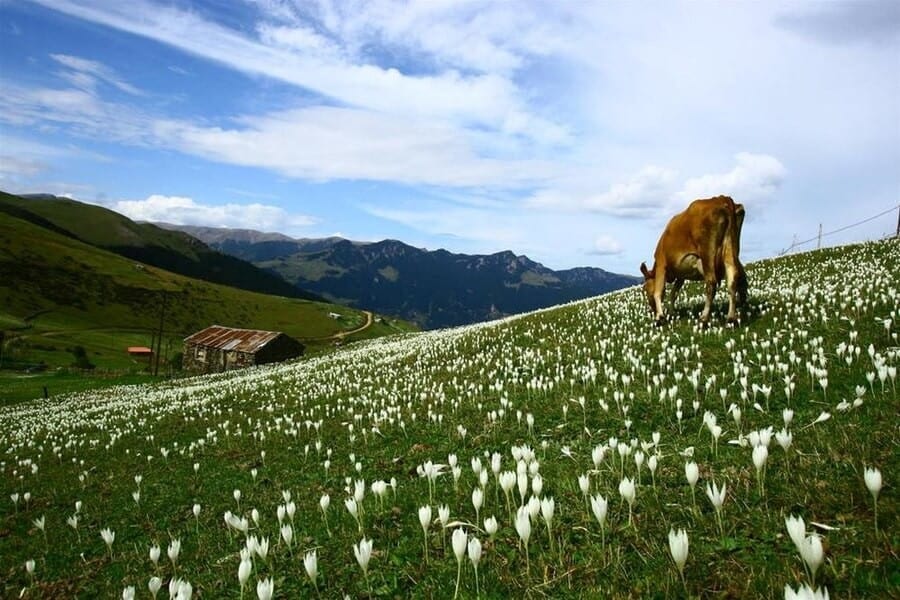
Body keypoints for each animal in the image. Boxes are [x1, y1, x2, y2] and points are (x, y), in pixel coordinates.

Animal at [644, 196, 748, 326]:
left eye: (645, 289)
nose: (652, 310)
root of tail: (722, 199)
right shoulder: (681, 276)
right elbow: (674, 293)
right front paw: (672, 313)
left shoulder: (661, 264)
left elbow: (659, 292)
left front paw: (660, 317)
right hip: (731, 248)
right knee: (734, 278)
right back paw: (732, 317)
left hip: (707, 252)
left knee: (711, 282)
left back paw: (704, 319)